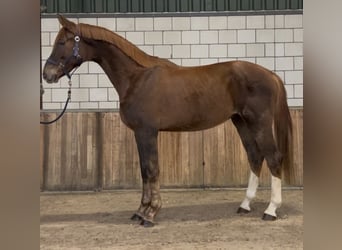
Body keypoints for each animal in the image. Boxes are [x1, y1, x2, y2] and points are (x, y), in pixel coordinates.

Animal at [42, 15, 294, 227]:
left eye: (62, 42)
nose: (48, 74)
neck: (137, 78)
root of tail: (271, 74)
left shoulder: (147, 132)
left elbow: (152, 170)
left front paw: (150, 214)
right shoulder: (140, 133)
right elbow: (144, 171)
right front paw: (140, 212)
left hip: (259, 122)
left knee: (273, 157)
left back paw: (271, 210)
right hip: (241, 121)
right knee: (255, 156)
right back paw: (245, 205)